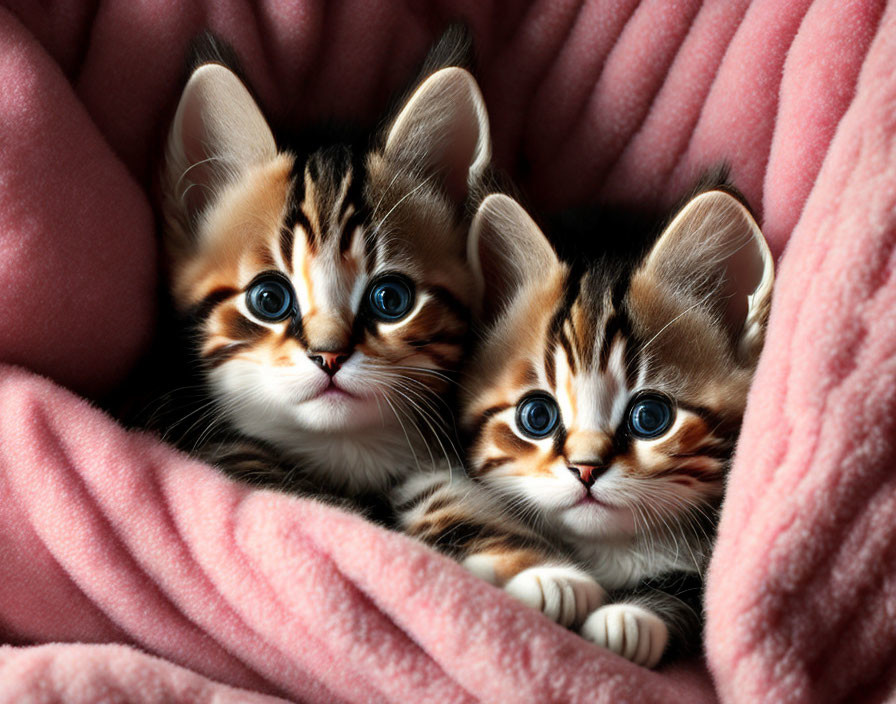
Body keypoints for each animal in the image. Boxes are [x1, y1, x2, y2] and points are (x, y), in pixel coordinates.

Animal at [410, 186, 772, 664]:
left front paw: (629, 619)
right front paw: (548, 578)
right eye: (537, 416)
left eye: (650, 418)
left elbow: (687, 590)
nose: (585, 468)